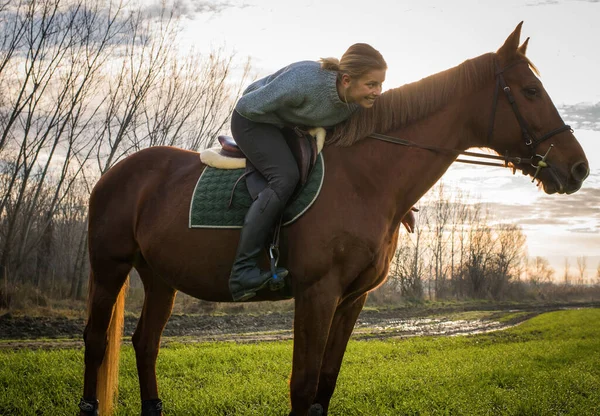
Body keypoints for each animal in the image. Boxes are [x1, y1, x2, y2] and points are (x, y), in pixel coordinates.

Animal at [77, 22, 588, 416]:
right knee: (96, 340)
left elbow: (325, 383)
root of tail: (116, 172)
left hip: (160, 276)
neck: (367, 179)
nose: (579, 168)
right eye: (530, 91)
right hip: (110, 266)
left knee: (145, 343)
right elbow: (302, 385)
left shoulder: (351, 300)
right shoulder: (317, 293)